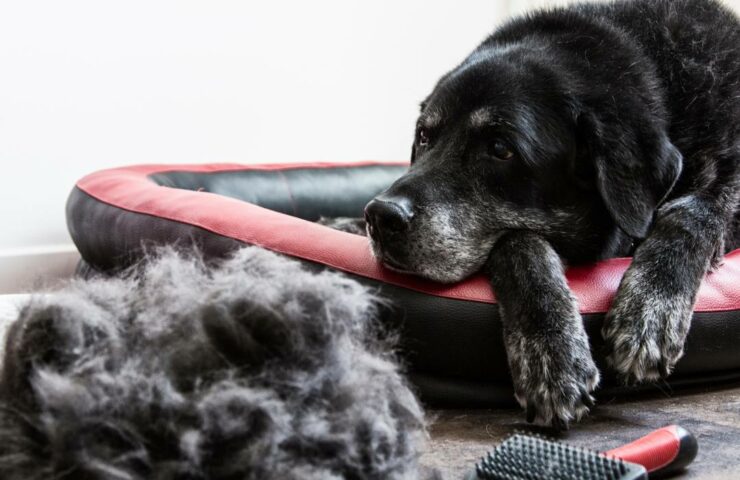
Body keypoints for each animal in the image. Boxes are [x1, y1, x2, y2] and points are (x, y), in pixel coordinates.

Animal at [362, 0, 736, 428]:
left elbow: (692, 213)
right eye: (425, 136)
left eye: (500, 148)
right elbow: (518, 240)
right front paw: (550, 351)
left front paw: (650, 311)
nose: (380, 216)